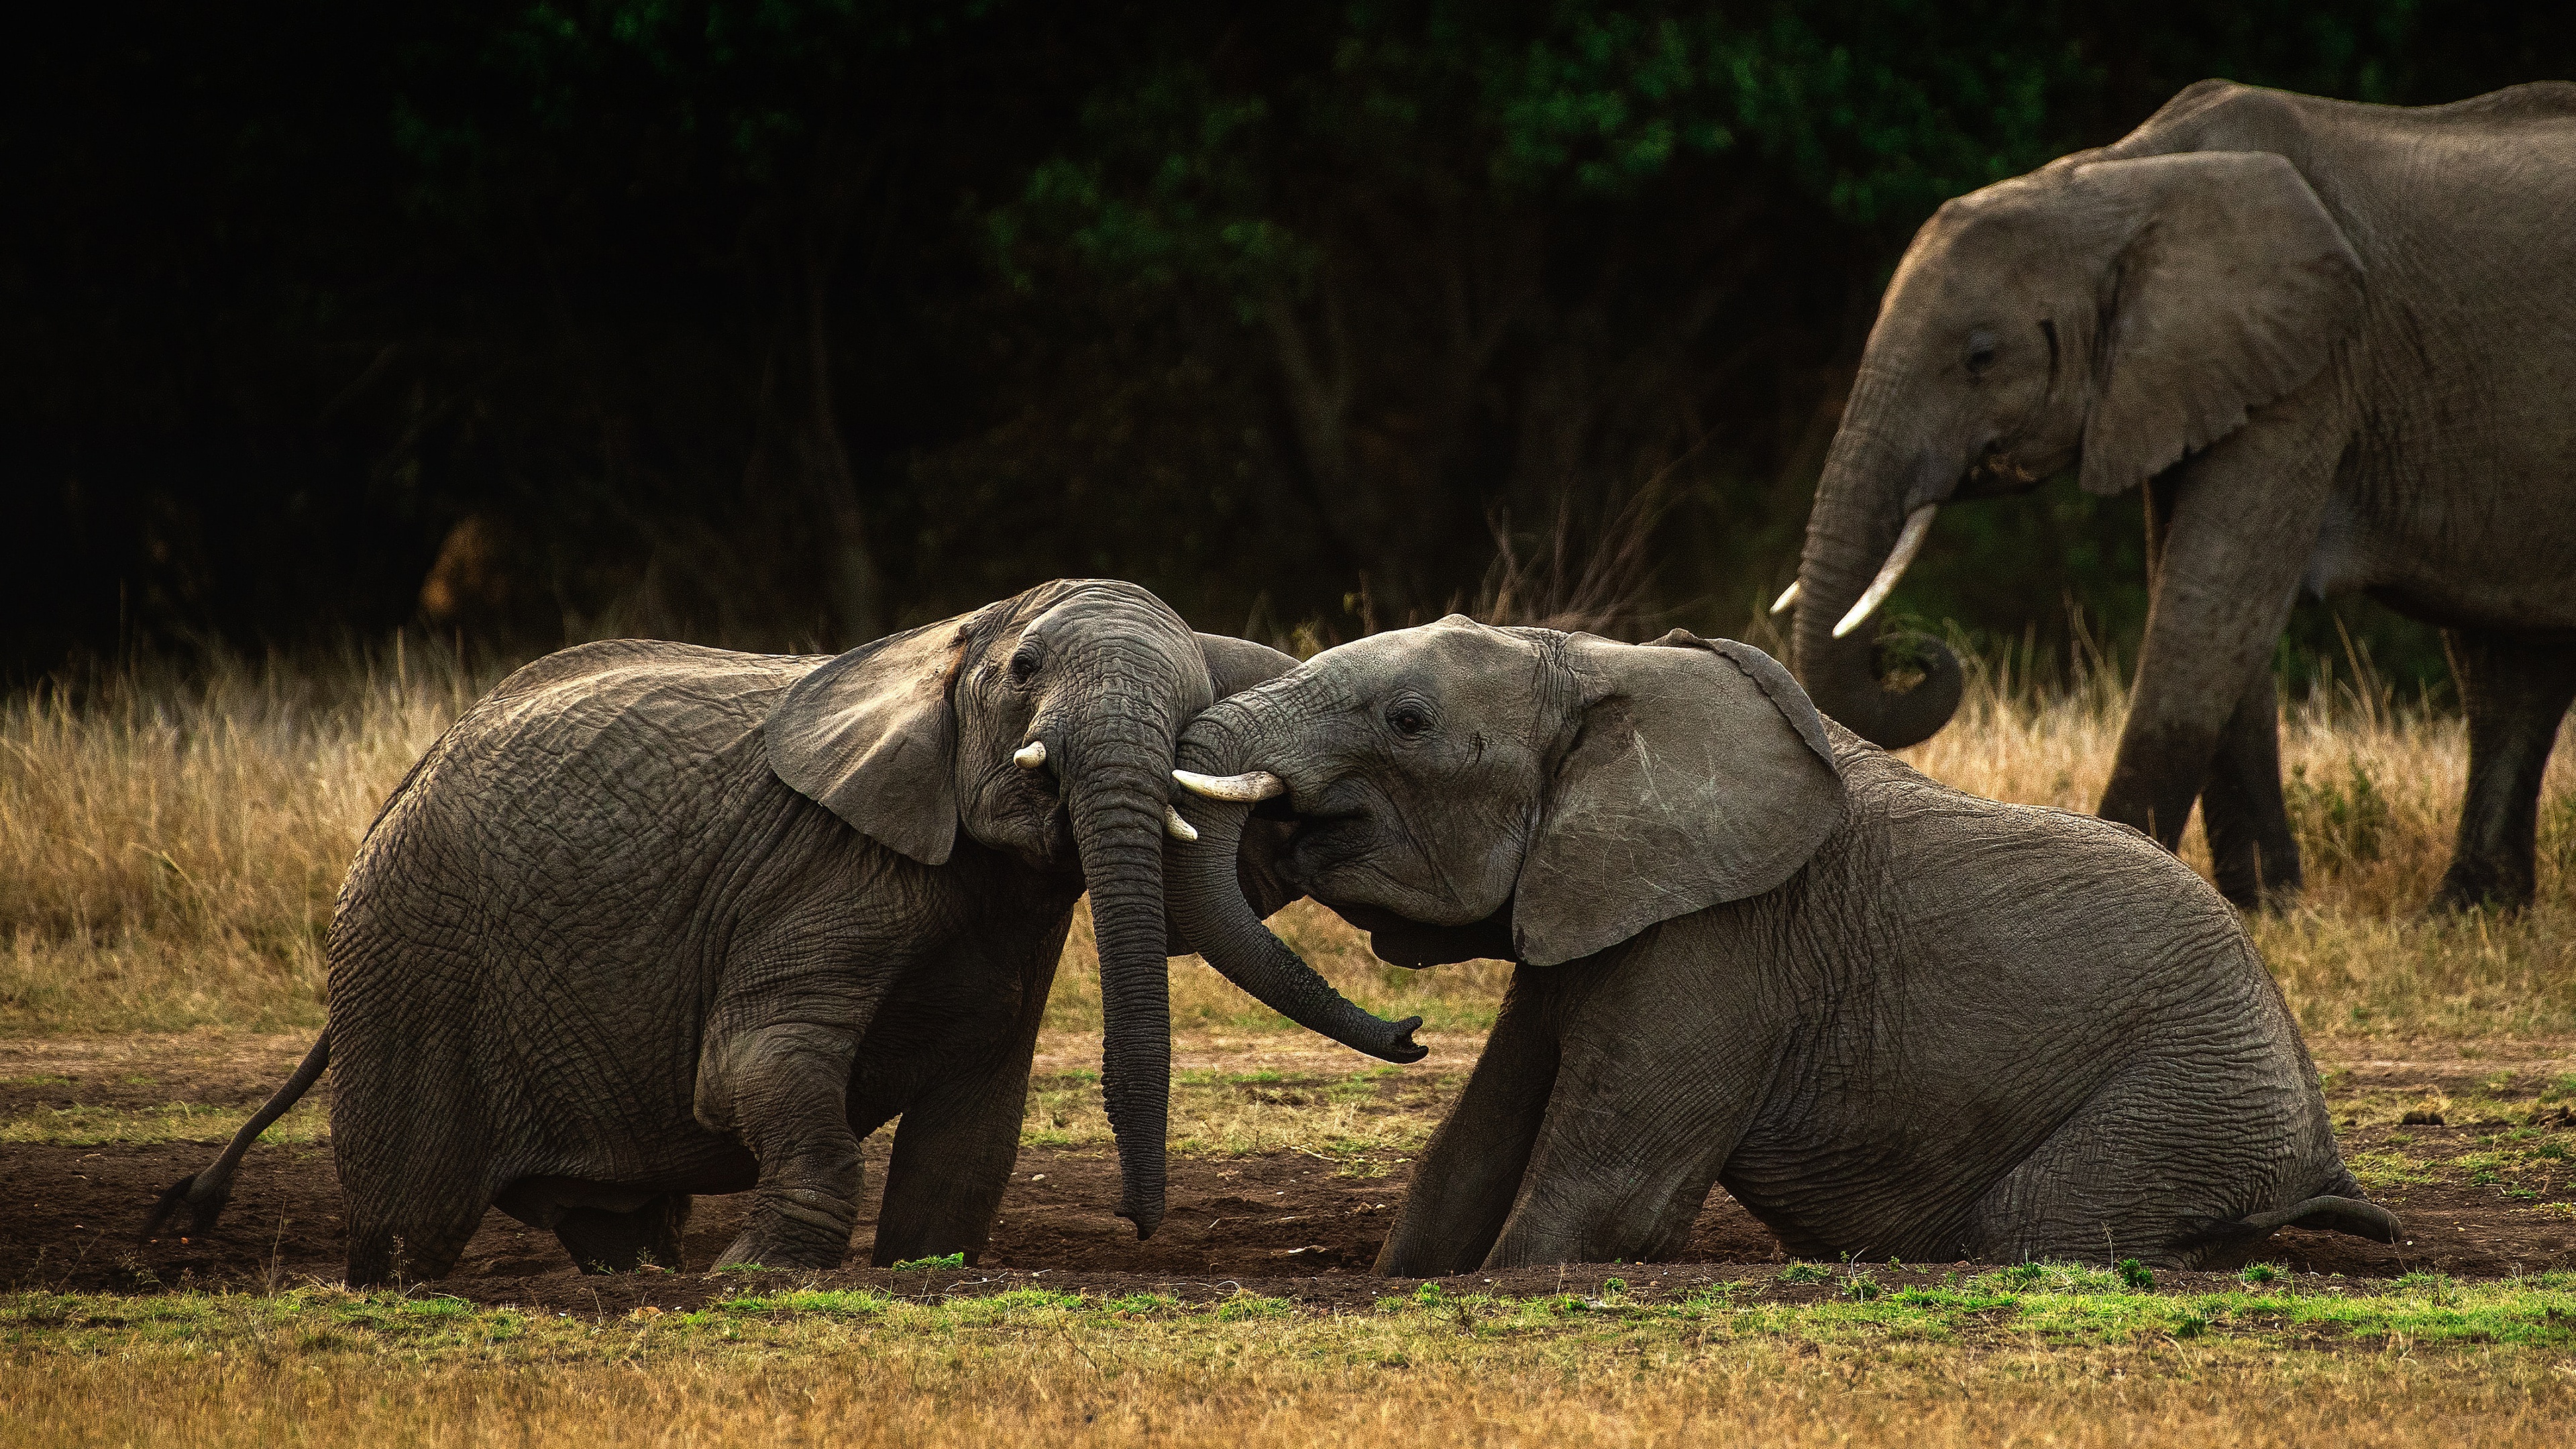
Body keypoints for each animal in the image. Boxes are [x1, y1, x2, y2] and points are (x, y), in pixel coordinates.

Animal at [148, 580, 1421, 1279]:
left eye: (1200, 688)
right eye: (1023, 671)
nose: (1144, 1229)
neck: (950, 638)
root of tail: (403, 786)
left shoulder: (1008, 920)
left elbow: (976, 1115)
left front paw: (919, 1266)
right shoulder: (818, 868)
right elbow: (755, 1062)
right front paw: (759, 1272)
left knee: (602, 1218)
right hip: (408, 965)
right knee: (414, 1226)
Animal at [1159, 613, 2400, 1268]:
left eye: (1407, 721)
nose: (1411, 1031)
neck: (1599, 663)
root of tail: (2321, 1145)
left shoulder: (1727, 940)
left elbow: (1610, 1197)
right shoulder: (1599, 900)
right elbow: (1470, 1148)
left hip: (2186, 1102)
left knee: (2035, 1223)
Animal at [1782, 76, 2576, 902]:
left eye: (1981, 356)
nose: (1906, 651)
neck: (2119, 179)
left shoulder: (2314, 370)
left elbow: (2210, 597)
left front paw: (2131, 868)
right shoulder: (2195, 375)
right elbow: (2202, 592)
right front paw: (2264, 900)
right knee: (2512, 667)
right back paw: (2471, 908)